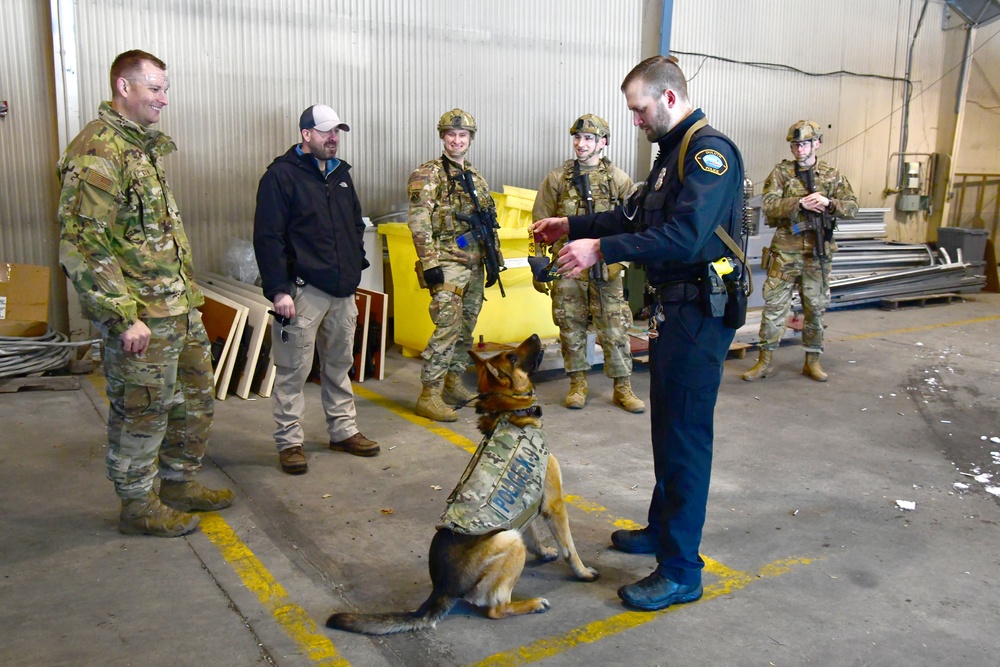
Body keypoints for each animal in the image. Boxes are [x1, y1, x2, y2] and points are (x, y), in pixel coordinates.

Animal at [326, 336, 592, 636]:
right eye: (512, 357)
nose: (536, 335)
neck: (507, 411)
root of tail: (441, 588)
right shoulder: (554, 505)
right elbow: (569, 548)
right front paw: (583, 572)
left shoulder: (528, 503)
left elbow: (533, 533)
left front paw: (544, 552)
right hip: (509, 541)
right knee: (496, 609)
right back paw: (532, 604)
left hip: (510, 535)